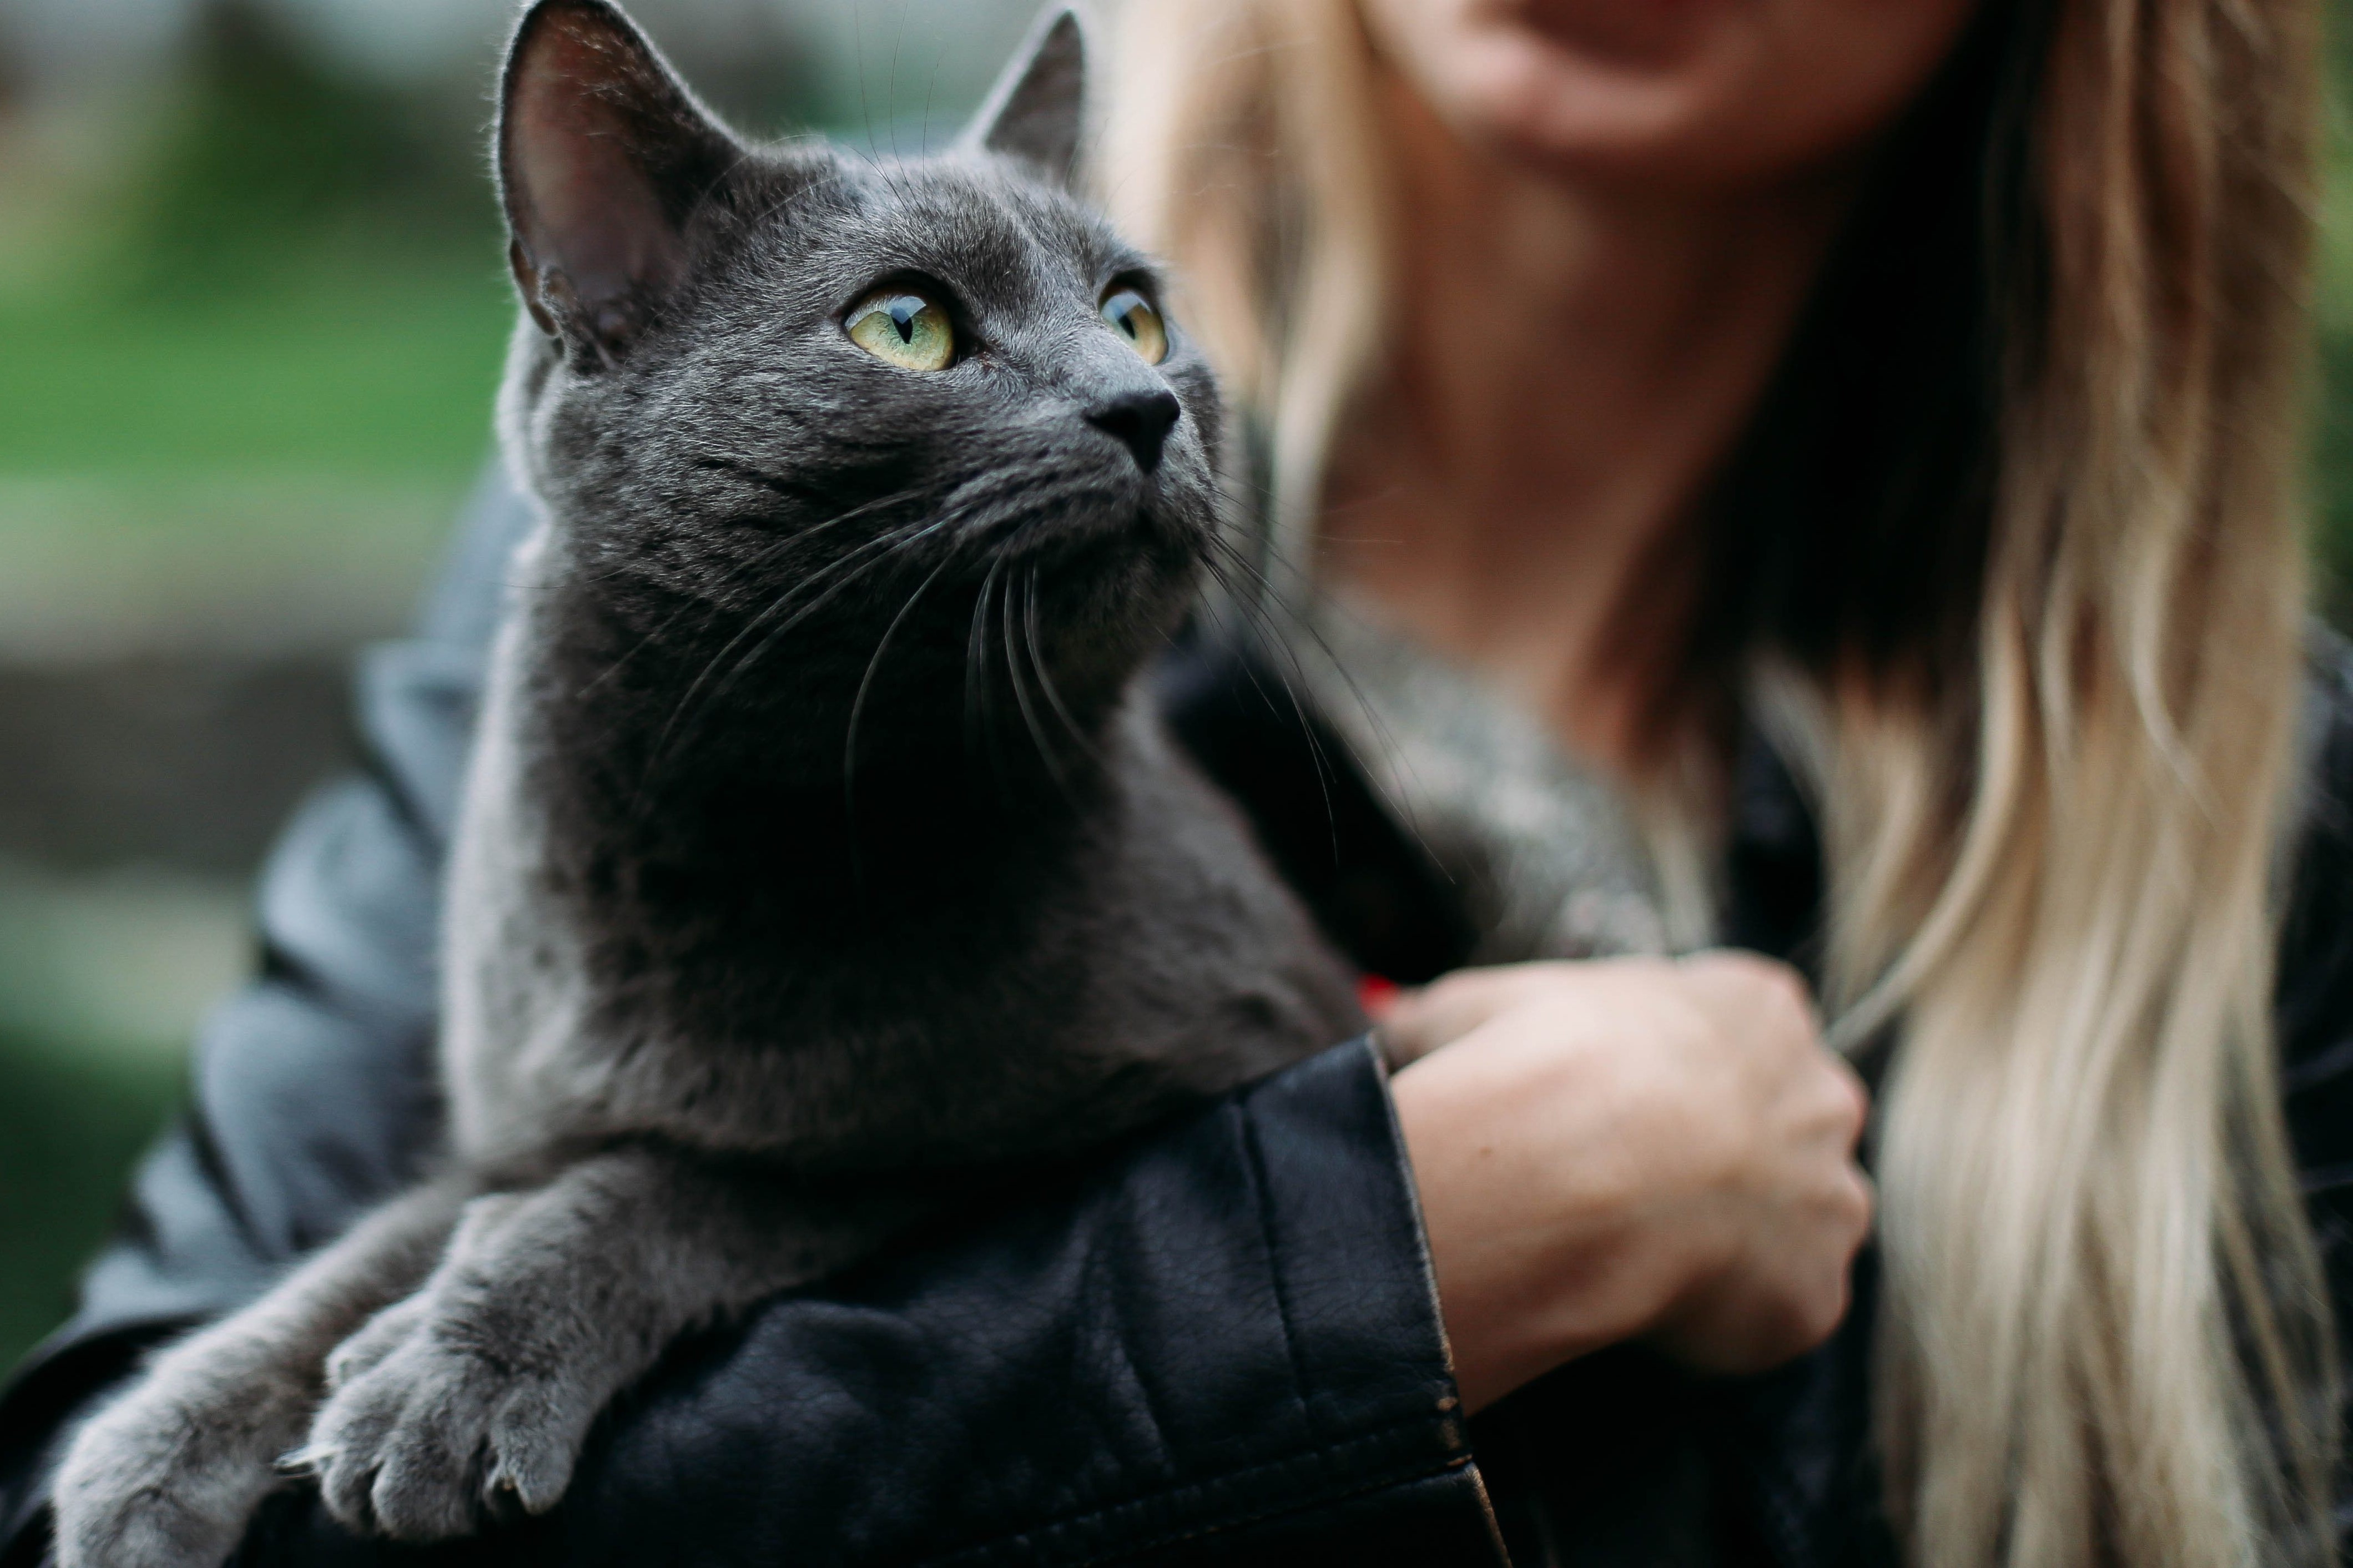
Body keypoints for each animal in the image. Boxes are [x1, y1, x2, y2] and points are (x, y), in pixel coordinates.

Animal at [55, 6, 1364, 1554]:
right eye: (905, 326)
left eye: (1133, 313)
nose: (1144, 402)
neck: (744, 837)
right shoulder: (517, 1111)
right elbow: (368, 1240)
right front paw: (150, 1447)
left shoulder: (1151, 1089)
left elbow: (710, 1178)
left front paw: (441, 1370)